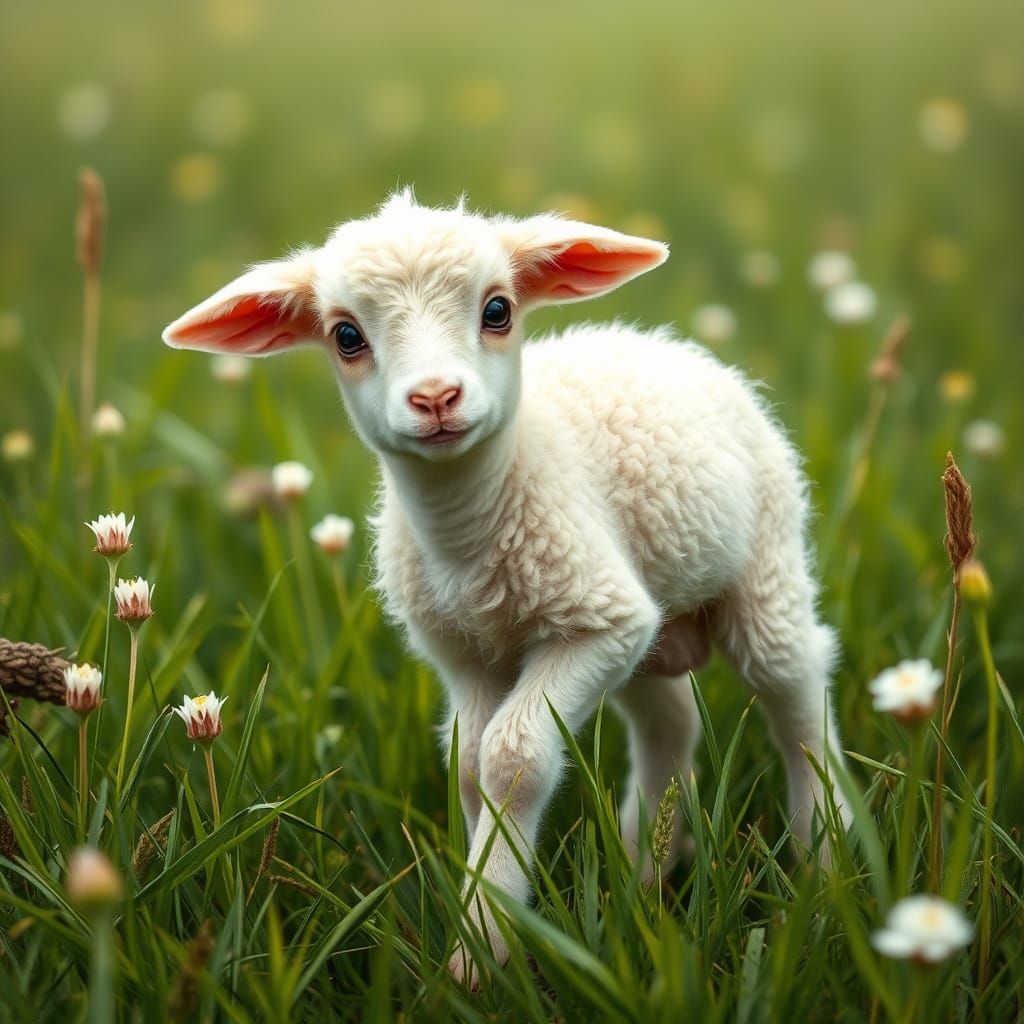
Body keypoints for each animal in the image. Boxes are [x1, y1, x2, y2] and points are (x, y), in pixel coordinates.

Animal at [163, 189, 852, 981]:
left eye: (497, 310)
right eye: (346, 336)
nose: (436, 397)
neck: (471, 535)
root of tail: (665, 343)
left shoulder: (599, 619)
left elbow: (512, 758)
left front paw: (482, 944)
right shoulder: (463, 650)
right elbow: (467, 764)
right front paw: (477, 939)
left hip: (765, 559)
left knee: (795, 696)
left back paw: (824, 858)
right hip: (652, 626)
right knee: (669, 721)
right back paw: (644, 872)